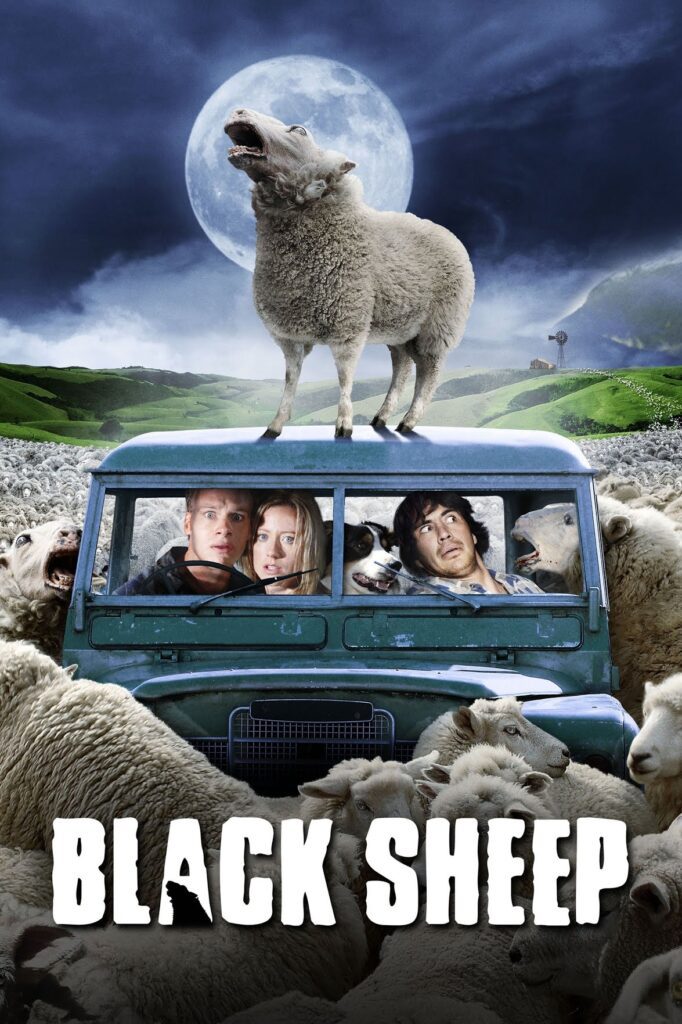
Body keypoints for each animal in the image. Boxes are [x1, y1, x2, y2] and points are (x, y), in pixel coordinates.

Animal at [225, 108, 475, 437]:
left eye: (300, 130)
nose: (238, 110)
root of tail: (449, 234)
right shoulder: (289, 335)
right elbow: (291, 378)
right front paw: (275, 426)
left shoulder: (348, 323)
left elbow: (344, 375)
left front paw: (343, 425)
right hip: (400, 327)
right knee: (402, 367)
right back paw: (382, 417)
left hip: (438, 327)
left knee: (429, 373)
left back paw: (408, 421)